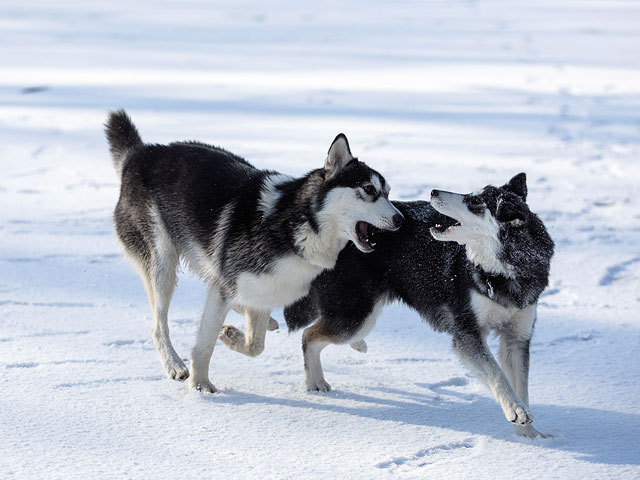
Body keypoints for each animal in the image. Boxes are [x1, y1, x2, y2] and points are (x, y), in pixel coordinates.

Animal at [107, 111, 402, 394]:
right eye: (369, 190)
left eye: (388, 193)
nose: (400, 220)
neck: (296, 225)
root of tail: (141, 153)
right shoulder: (227, 285)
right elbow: (206, 344)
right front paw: (200, 385)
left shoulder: (264, 287)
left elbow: (255, 346)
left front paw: (233, 337)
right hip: (162, 264)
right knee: (158, 325)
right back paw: (174, 364)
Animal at [284, 174, 556, 436]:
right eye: (473, 195)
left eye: (475, 202)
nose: (433, 191)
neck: (501, 272)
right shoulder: (467, 333)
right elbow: (497, 374)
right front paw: (515, 411)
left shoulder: (517, 339)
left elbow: (521, 386)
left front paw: (529, 434)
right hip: (355, 315)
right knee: (309, 335)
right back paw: (315, 382)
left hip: (360, 315)